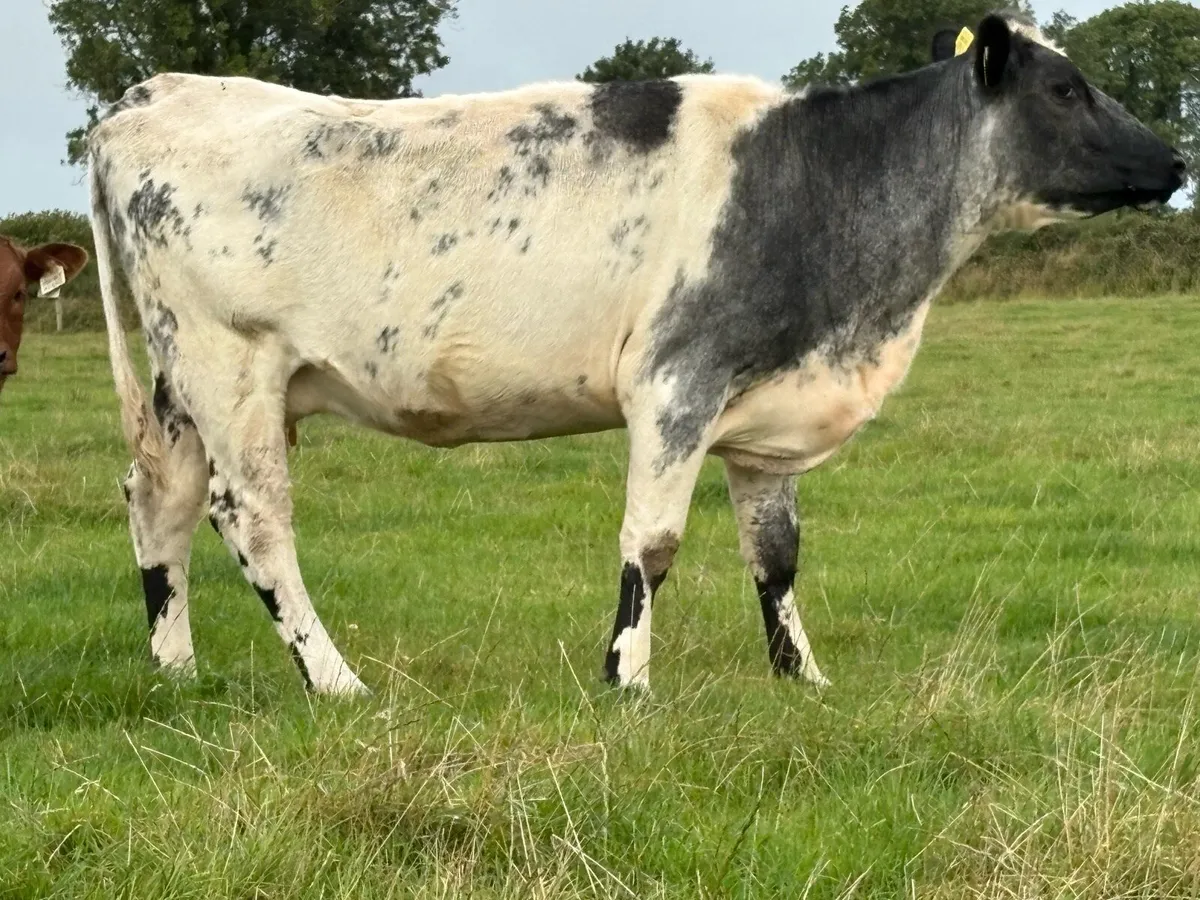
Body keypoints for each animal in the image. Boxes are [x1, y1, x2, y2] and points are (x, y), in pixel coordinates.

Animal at [86, 11, 1184, 696]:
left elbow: (776, 556)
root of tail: (157, 93)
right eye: (1066, 88)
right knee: (253, 518)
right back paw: (336, 680)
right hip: (231, 367)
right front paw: (626, 678)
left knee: (159, 502)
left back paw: (175, 667)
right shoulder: (676, 381)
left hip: (184, 385)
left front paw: (803, 678)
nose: (1176, 158)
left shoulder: (766, 414)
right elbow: (651, 543)